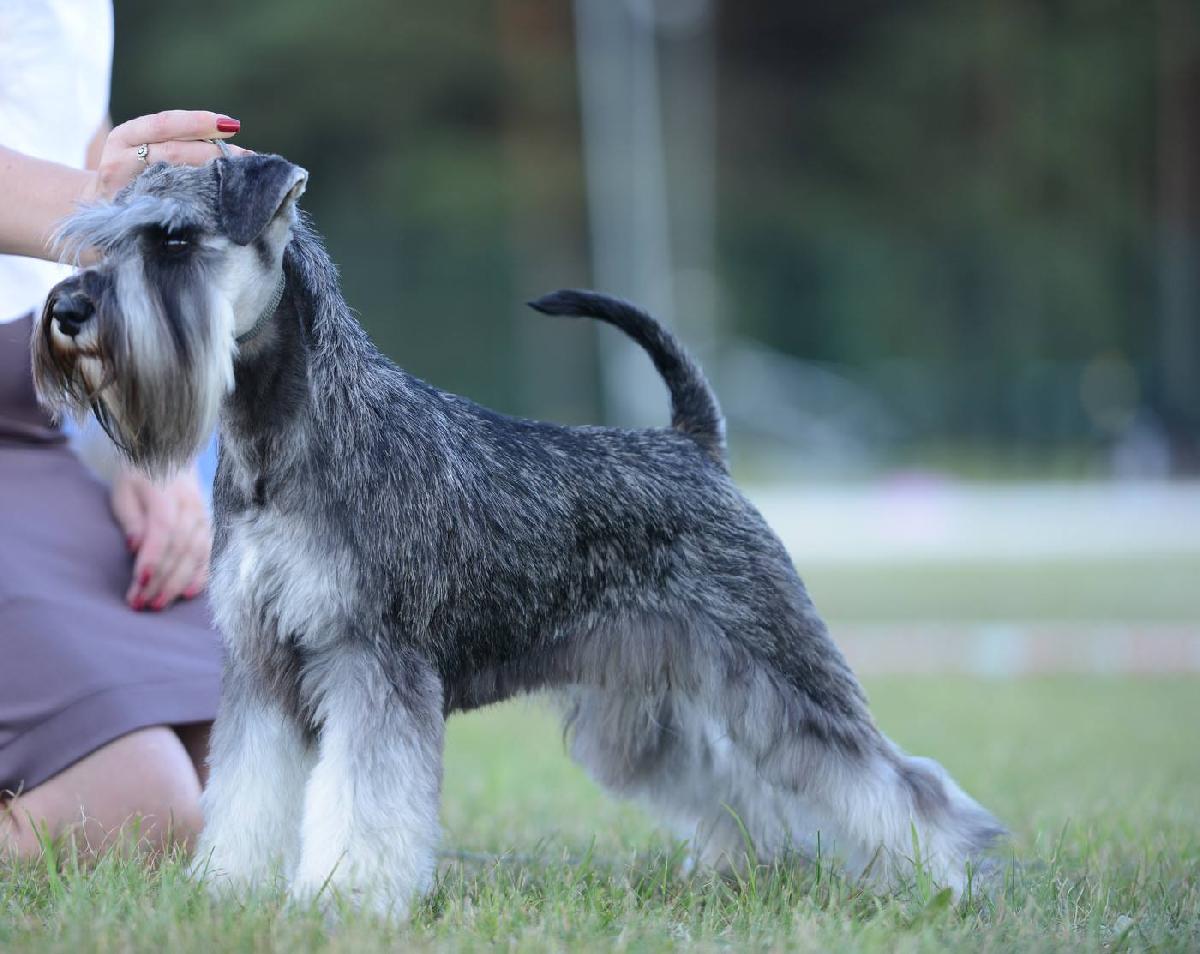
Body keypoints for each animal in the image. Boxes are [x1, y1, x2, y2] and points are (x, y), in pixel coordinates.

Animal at [33, 153, 1003, 916]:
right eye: (101, 241)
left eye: (173, 241)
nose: (68, 310)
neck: (285, 436)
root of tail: (696, 444)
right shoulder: (263, 668)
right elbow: (245, 790)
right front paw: (229, 892)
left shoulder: (372, 661)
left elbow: (361, 796)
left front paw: (346, 896)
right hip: (643, 703)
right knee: (727, 779)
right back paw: (745, 868)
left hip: (778, 667)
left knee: (889, 781)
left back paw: (948, 879)